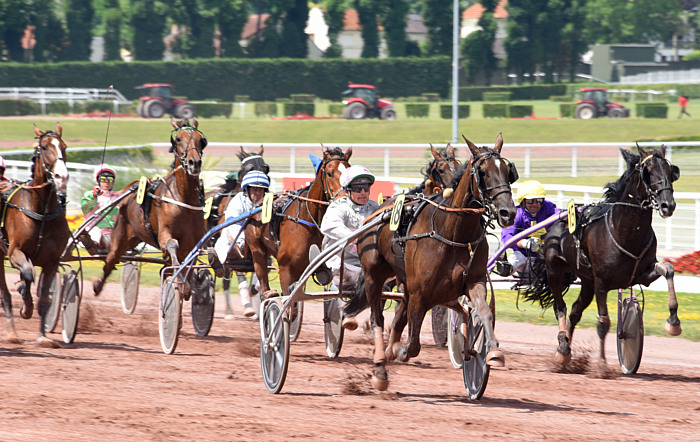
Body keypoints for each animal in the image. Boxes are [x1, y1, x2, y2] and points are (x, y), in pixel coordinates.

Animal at [0, 124, 70, 346]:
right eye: (45, 147)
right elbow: (28, 273)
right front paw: (26, 304)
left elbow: (46, 297)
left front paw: (43, 337)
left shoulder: (52, 261)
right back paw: (12, 333)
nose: (62, 177)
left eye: (64, 146)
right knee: (5, 294)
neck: (42, 213)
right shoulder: (15, 252)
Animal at [93, 119, 208, 296]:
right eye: (179, 139)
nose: (194, 163)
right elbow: (171, 245)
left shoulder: (193, 243)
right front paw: (180, 282)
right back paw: (97, 285)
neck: (183, 197)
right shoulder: (164, 234)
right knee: (110, 262)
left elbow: (186, 266)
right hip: (119, 237)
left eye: (200, 140)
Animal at [246, 145, 352, 300]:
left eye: (349, 170)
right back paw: (268, 293)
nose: (344, 199)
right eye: (329, 173)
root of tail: (257, 204)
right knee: (262, 272)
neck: (310, 219)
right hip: (257, 249)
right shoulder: (286, 268)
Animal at [352, 135, 516, 390]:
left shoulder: (473, 280)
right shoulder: (420, 293)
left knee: (400, 315)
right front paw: (398, 352)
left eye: (508, 171)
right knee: (377, 318)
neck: (453, 233)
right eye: (482, 171)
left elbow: (483, 312)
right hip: (374, 276)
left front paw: (491, 352)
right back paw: (380, 366)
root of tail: (377, 210)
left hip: (404, 281)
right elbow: (413, 345)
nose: (508, 212)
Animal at [524, 145, 680, 366]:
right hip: (555, 270)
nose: (668, 205)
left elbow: (668, 269)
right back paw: (562, 347)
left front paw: (673, 322)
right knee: (560, 307)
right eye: (647, 171)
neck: (625, 231)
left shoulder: (643, 274)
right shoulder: (601, 282)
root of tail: (557, 222)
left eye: (670, 170)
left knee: (575, 311)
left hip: (586, 281)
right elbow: (603, 322)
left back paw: (566, 349)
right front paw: (602, 364)